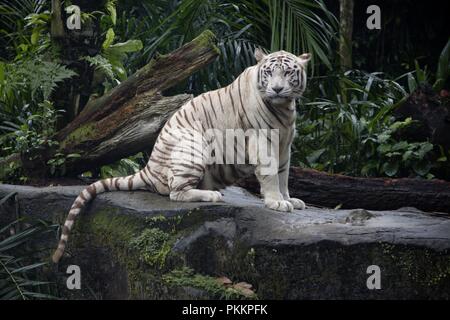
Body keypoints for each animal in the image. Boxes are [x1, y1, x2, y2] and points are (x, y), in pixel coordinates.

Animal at [52, 48, 312, 262]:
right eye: (269, 73)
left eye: (288, 73)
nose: (277, 89)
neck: (285, 108)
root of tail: (148, 168)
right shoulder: (261, 140)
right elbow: (270, 174)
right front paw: (276, 202)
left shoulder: (284, 145)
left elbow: (283, 175)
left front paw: (289, 199)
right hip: (193, 146)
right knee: (176, 193)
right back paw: (212, 195)